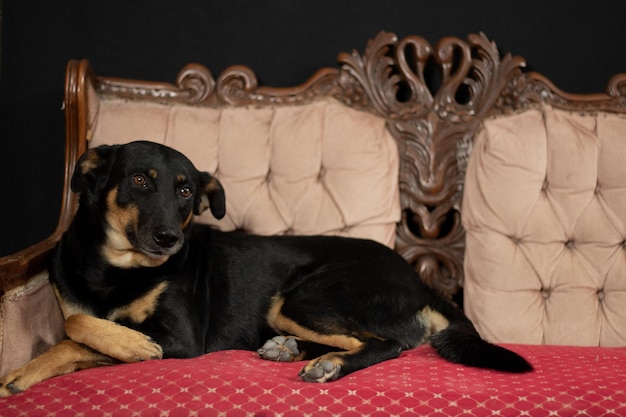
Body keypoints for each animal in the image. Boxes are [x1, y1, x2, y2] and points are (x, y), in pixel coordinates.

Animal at [0, 141, 532, 394]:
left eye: (186, 189)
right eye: (139, 180)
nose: (171, 239)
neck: (116, 267)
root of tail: (418, 280)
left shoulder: (179, 339)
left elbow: (77, 332)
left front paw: (131, 346)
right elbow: (75, 324)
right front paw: (24, 373)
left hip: (302, 295)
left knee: (386, 343)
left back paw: (328, 364)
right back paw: (289, 349)